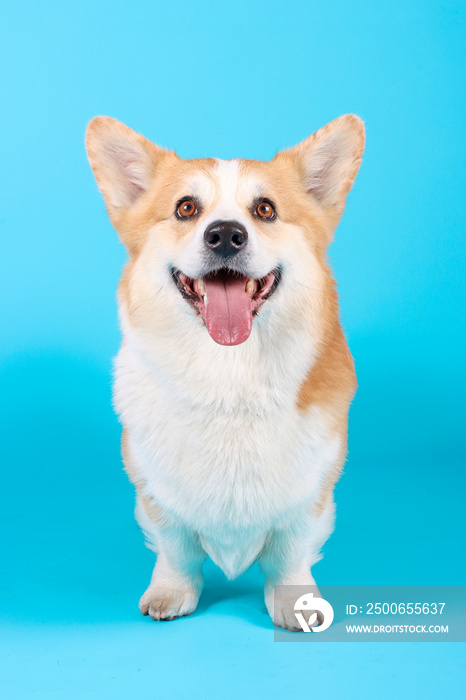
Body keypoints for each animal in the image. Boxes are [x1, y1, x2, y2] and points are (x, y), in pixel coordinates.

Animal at [86, 113, 364, 628]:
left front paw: (297, 602)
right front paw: (170, 593)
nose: (226, 235)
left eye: (266, 210)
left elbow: (291, 552)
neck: (228, 374)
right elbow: (175, 549)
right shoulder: (156, 492)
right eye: (186, 208)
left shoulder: (311, 493)